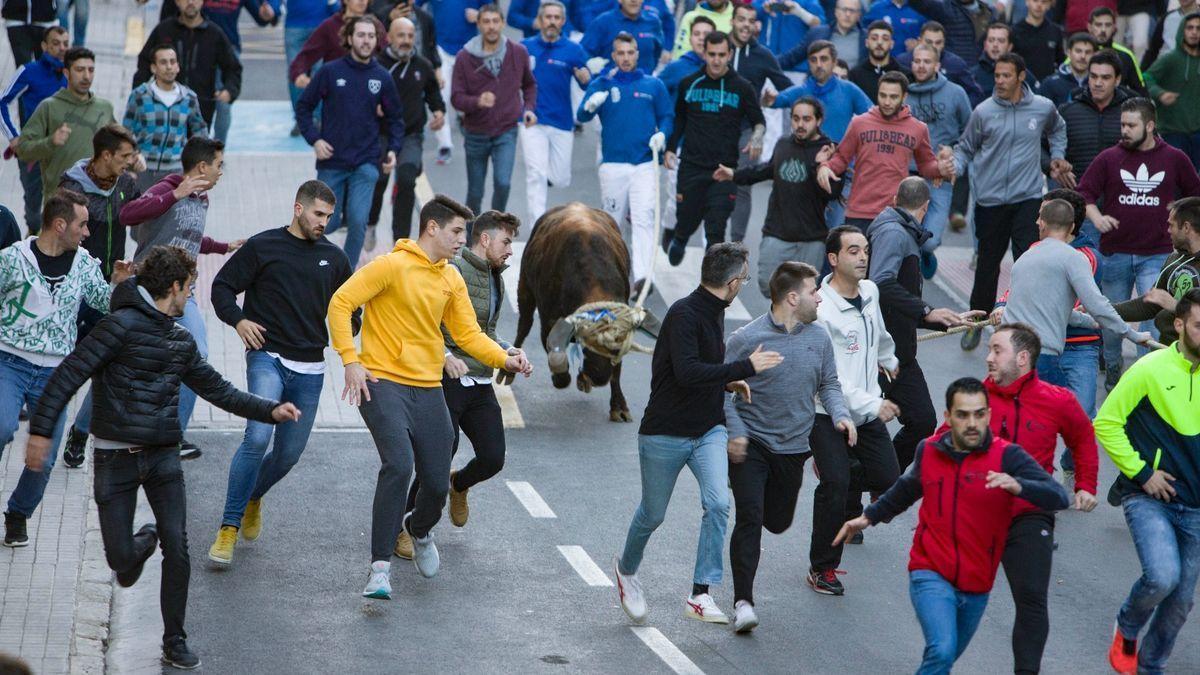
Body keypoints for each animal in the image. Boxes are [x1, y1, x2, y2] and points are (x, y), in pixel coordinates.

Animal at [511, 201, 662, 420]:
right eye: (588, 347)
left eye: (614, 348)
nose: (598, 378)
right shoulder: (548, 319)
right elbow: (555, 353)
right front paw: (561, 378)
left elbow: (617, 370)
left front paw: (618, 406)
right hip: (524, 288)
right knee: (523, 325)